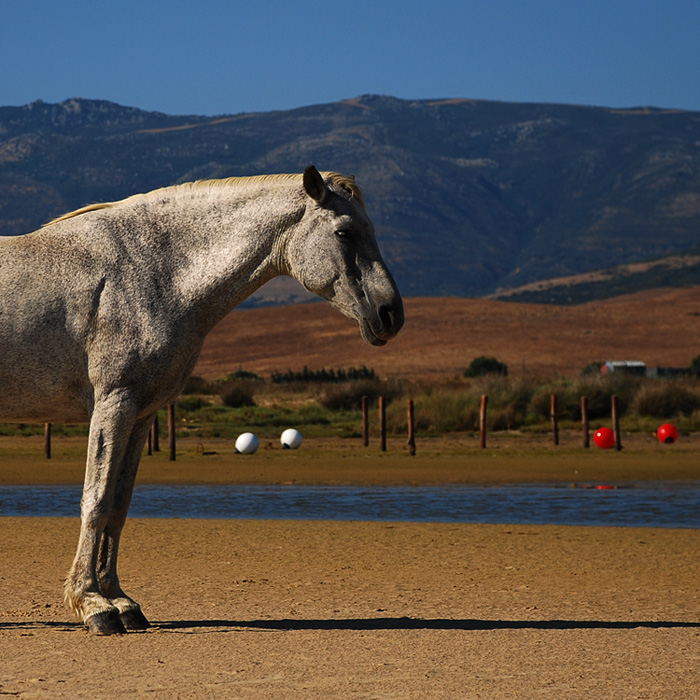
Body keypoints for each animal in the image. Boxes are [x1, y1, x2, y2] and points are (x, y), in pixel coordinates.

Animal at [0, 165, 404, 636]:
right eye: (344, 232)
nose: (391, 314)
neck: (152, 272)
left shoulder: (141, 414)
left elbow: (118, 505)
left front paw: (120, 601)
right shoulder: (113, 404)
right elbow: (95, 501)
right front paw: (92, 605)